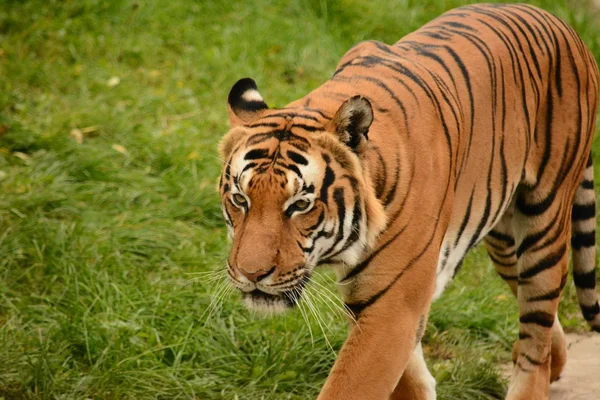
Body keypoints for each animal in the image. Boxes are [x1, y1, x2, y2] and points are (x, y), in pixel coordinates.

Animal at [218, 3, 596, 400]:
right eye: (240, 199)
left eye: (300, 205)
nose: (251, 275)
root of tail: (561, 23)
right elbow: (410, 377)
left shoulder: (393, 304)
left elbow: (350, 386)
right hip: (504, 238)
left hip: (543, 224)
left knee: (537, 327)